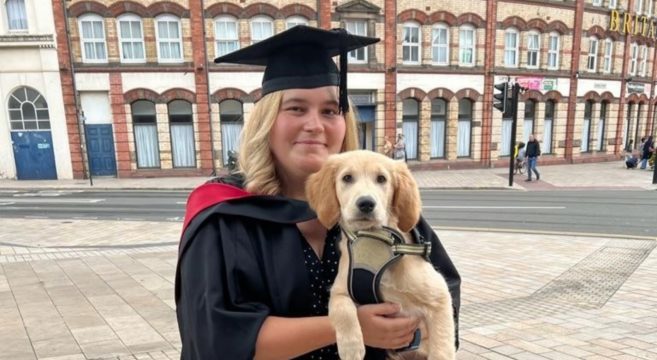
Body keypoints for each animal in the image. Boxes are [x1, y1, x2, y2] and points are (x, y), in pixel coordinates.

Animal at [304, 150, 454, 360]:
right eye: (347, 178)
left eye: (381, 179)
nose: (366, 203)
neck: (373, 241)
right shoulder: (339, 290)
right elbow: (342, 310)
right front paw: (351, 348)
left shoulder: (439, 296)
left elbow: (442, 347)